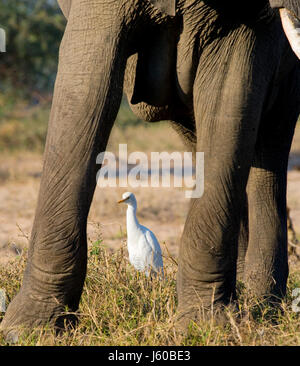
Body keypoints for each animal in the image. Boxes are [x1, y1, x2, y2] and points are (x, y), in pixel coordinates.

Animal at [0, 0, 300, 338]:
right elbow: (85, 88)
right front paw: (30, 329)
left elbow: (230, 92)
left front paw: (207, 326)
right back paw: (251, 302)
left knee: (267, 148)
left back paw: (266, 308)